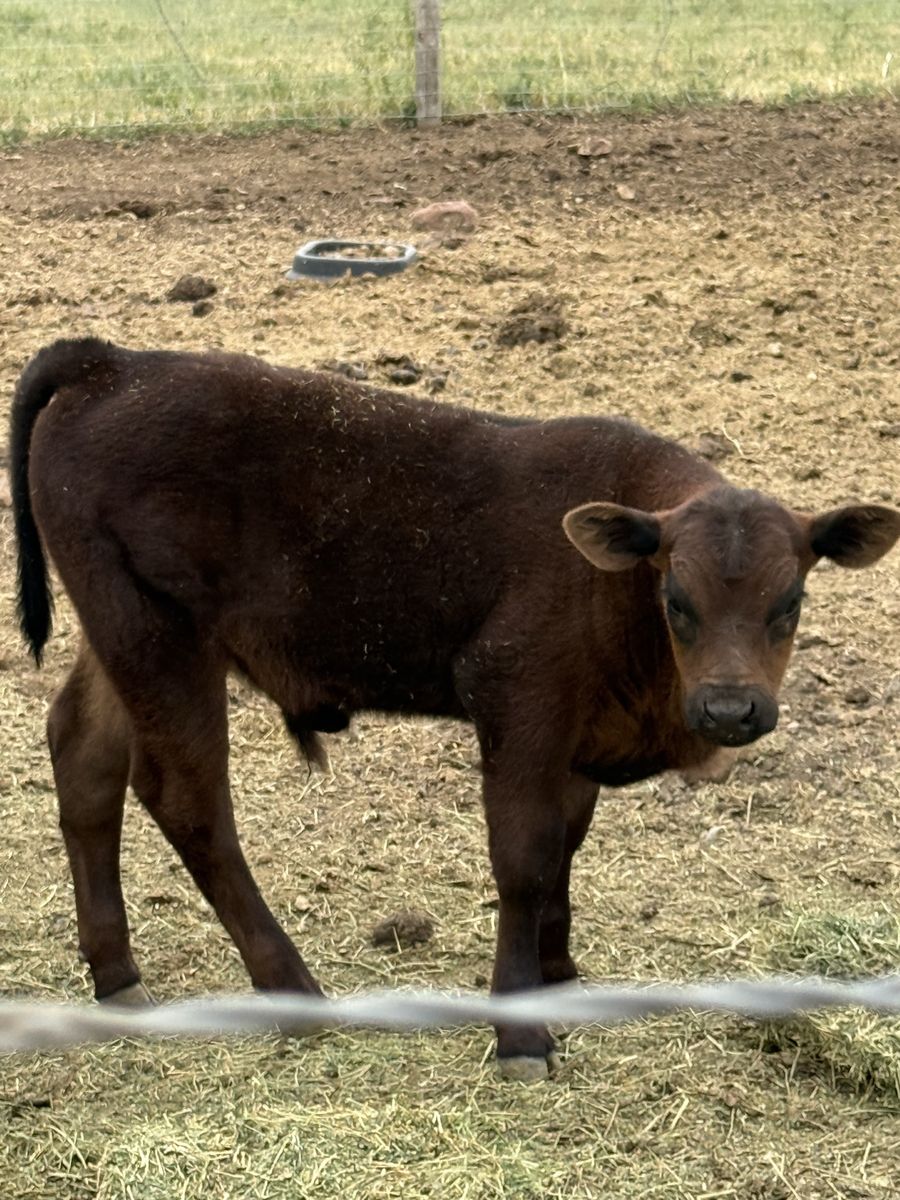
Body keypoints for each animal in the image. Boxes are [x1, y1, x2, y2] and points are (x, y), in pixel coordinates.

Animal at [9, 337, 899, 1079]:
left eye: (790, 601)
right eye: (676, 599)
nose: (729, 709)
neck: (607, 588)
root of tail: (111, 363)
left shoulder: (574, 738)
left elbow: (565, 849)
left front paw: (558, 976)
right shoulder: (517, 704)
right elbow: (525, 860)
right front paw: (521, 1031)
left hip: (118, 640)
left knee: (84, 757)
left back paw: (117, 975)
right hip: (163, 645)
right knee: (188, 802)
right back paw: (293, 990)